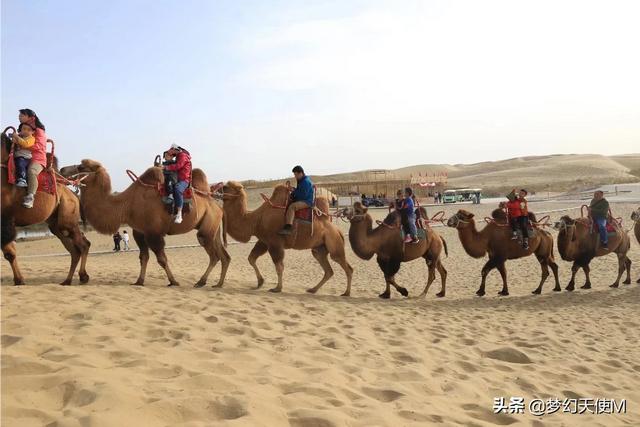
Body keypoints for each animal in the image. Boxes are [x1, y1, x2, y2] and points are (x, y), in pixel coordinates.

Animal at [1, 128, 90, 285]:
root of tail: (74, 195)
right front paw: (19, 280)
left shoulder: (5, 219)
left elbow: (9, 253)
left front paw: (19, 280)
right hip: (56, 224)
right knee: (74, 250)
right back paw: (67, 281)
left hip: (68, 219)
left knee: (82, 245)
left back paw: (83, 277)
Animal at [59, 159, 229, 287]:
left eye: (81, 167)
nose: (62, 169)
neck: (126, 205)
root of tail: (218, 206)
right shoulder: (139, 232)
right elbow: (143, 257)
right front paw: (139, 281)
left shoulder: (153, 232)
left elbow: (161, 259)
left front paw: (173, 281)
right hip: (213, 227)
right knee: (224, 256)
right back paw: (218, 284)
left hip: (207, 227)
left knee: (213, 255)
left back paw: (201, 282)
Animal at [221, 181, 353, 295]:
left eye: (226, 187)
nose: (217, 189)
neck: (255, 220)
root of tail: (338, 231)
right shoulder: (264, 241)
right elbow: (251, 258)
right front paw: (260, 282)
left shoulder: (275, 242)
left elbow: (279, 266)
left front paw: (277, 288)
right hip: (319, 248)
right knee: (327, 269)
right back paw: (313, 289)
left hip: (334, 243)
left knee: (345, 266)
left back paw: (346, 293)